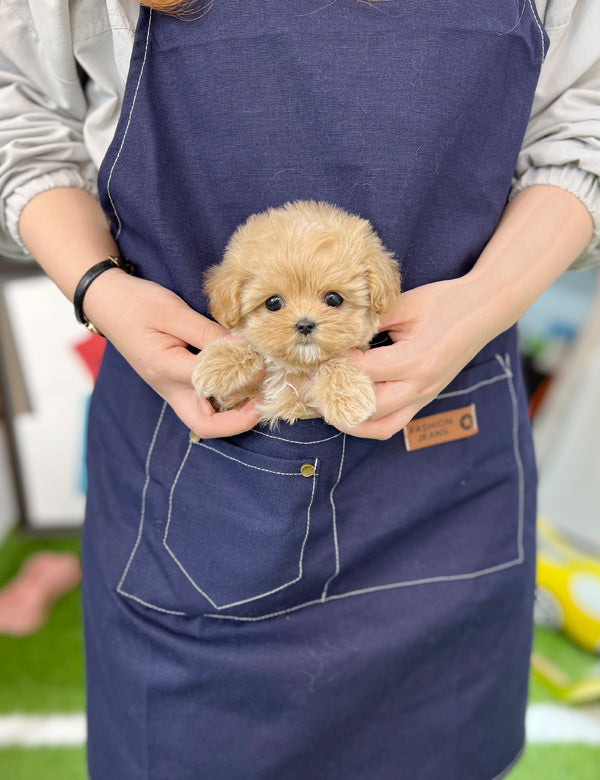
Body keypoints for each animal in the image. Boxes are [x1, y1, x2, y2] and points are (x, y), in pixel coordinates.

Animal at [190, 200, 400, 426]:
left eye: (333, 299)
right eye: (273, 303)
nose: (305, 325)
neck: (294, 368)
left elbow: (335, 359)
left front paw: (346, 396)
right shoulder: (233, 399)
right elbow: (253, 346)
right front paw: (217, 363)